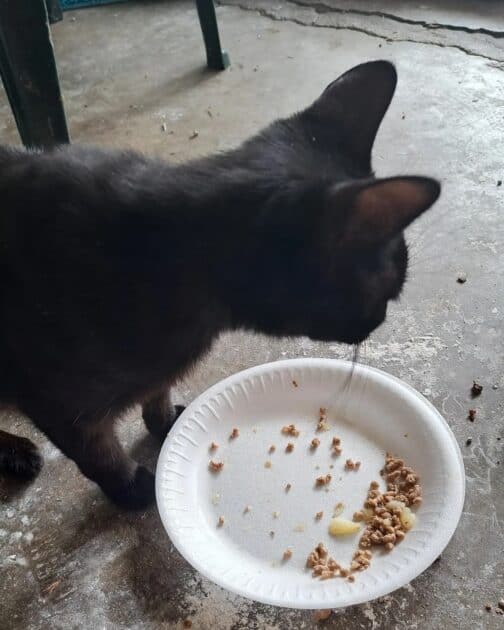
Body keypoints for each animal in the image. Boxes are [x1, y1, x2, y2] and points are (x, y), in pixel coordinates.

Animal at [0, 63, 440, 508]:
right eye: (388, 292)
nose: (381, 320)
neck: (163, 250)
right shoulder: (60, 405)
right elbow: (100, 455)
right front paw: (131, 487)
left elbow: (157, 390)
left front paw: (166, 424)